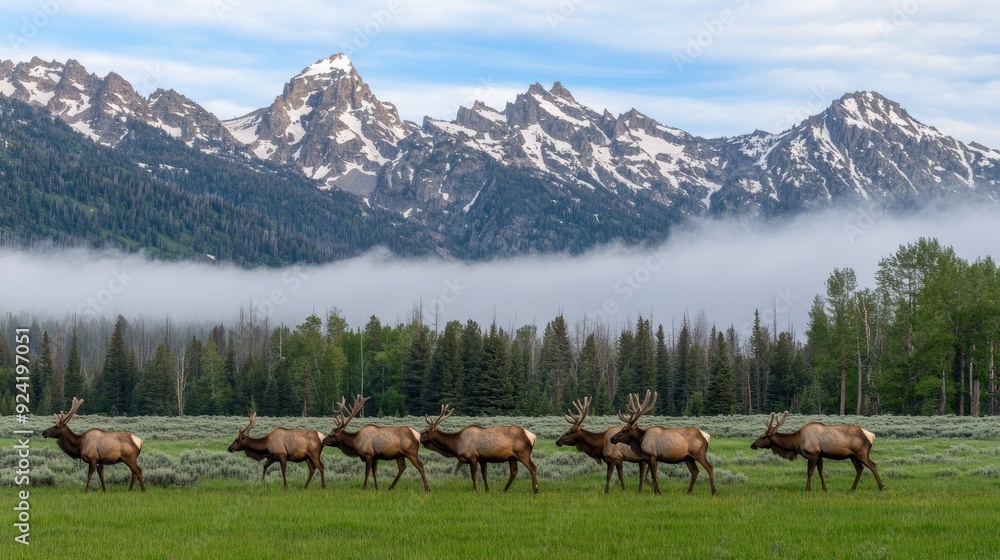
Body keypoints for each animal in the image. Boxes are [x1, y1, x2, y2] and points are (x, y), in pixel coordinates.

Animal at [750, 411, 885, 492]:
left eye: (762, 437)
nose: (752, 445)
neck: (797, 443)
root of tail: (871, 435)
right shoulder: (820, 455)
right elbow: (821, 472)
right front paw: (825, 489)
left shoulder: (813, 454)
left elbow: (810, 472)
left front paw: (807, 489)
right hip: (853, 456)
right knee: (860, 469)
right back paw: (852, 488)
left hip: (861, 453)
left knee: (873, 465)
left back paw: (881, 487)